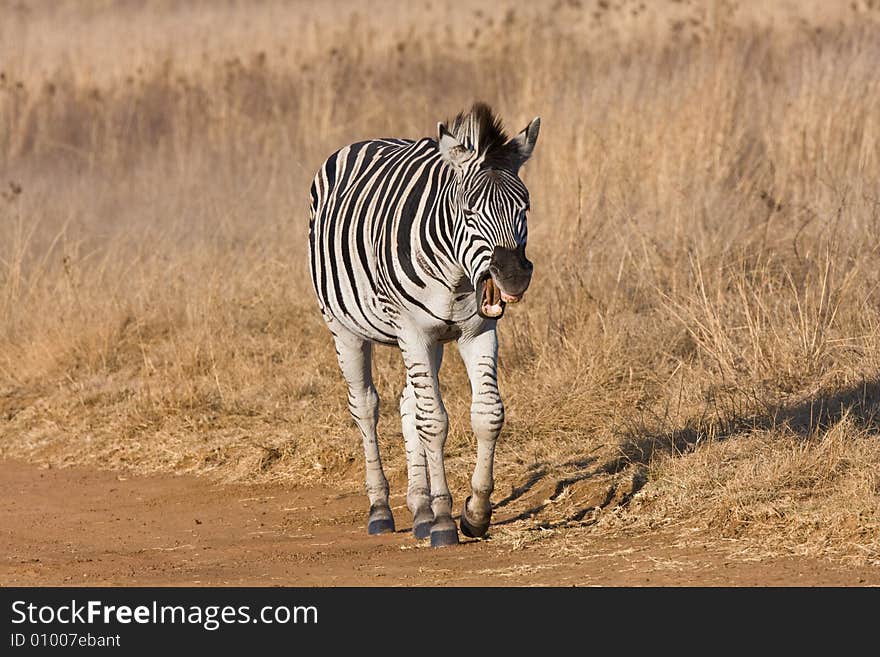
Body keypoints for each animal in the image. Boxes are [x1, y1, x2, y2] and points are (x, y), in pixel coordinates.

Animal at [310, 101, 544, 544]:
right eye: (469, 210)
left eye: (525, 206)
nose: (513, 277)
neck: (456, 274)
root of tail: (370, 139)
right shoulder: (413, 332)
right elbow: (433, 421)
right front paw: (444, 522)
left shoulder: (477, 332)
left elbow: (487, 414)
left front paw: (474, 513)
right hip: (344, 327)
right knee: (366, 406)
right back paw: (382, 510)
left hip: (428, 341)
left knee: (408, 403)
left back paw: (419, 508)